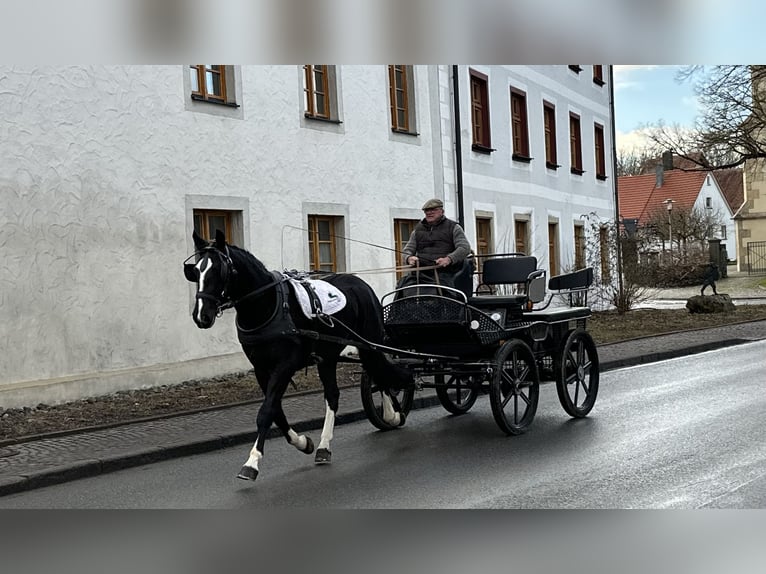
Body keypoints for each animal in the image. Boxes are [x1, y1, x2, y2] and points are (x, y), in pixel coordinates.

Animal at [184, 232, 414, 484]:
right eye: (195, 271)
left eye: (219, 270)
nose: (201, 316)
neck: (268, 305)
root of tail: (361, 285)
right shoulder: (261, 369)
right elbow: (276, 411)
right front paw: (303, 442)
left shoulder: (285, 366)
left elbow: (266, 411)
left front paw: (251, 463)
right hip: (328, 356)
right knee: (338, 393)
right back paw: (326, 446)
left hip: (369, 344)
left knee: (382, 374)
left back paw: (393, 411)